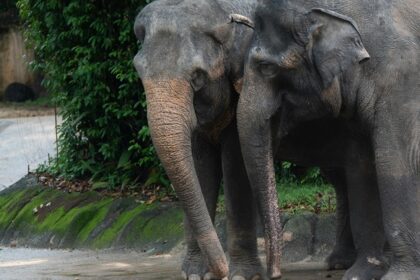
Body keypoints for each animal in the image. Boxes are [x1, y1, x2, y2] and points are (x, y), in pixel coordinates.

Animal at [238, 0, 418, 280]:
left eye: (267, 67)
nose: (275, 274)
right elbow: (362, 168)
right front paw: (360, 274)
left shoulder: (400, 78)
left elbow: (395, 161)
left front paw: (400, 276)